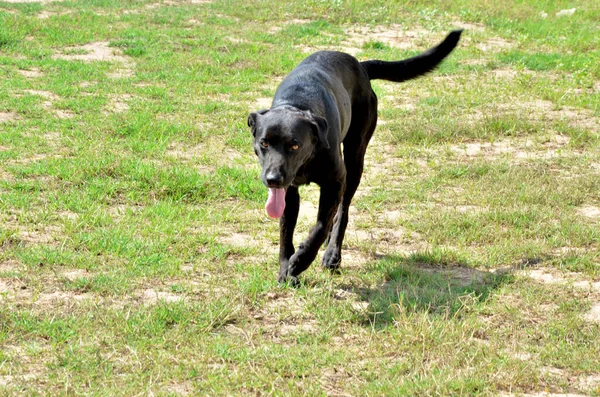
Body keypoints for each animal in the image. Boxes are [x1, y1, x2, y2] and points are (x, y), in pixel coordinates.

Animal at [246, 31, 462, 284]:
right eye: (264, 143)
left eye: (294, 145)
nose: (272, 179)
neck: (297, 103)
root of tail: (361, 66)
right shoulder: (288, 190)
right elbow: (285, 231)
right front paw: (285, 269)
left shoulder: (334, 181)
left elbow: (320, 227)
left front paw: (300, 261)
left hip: (354, 160)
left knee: (342, 211)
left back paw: (332, 254)